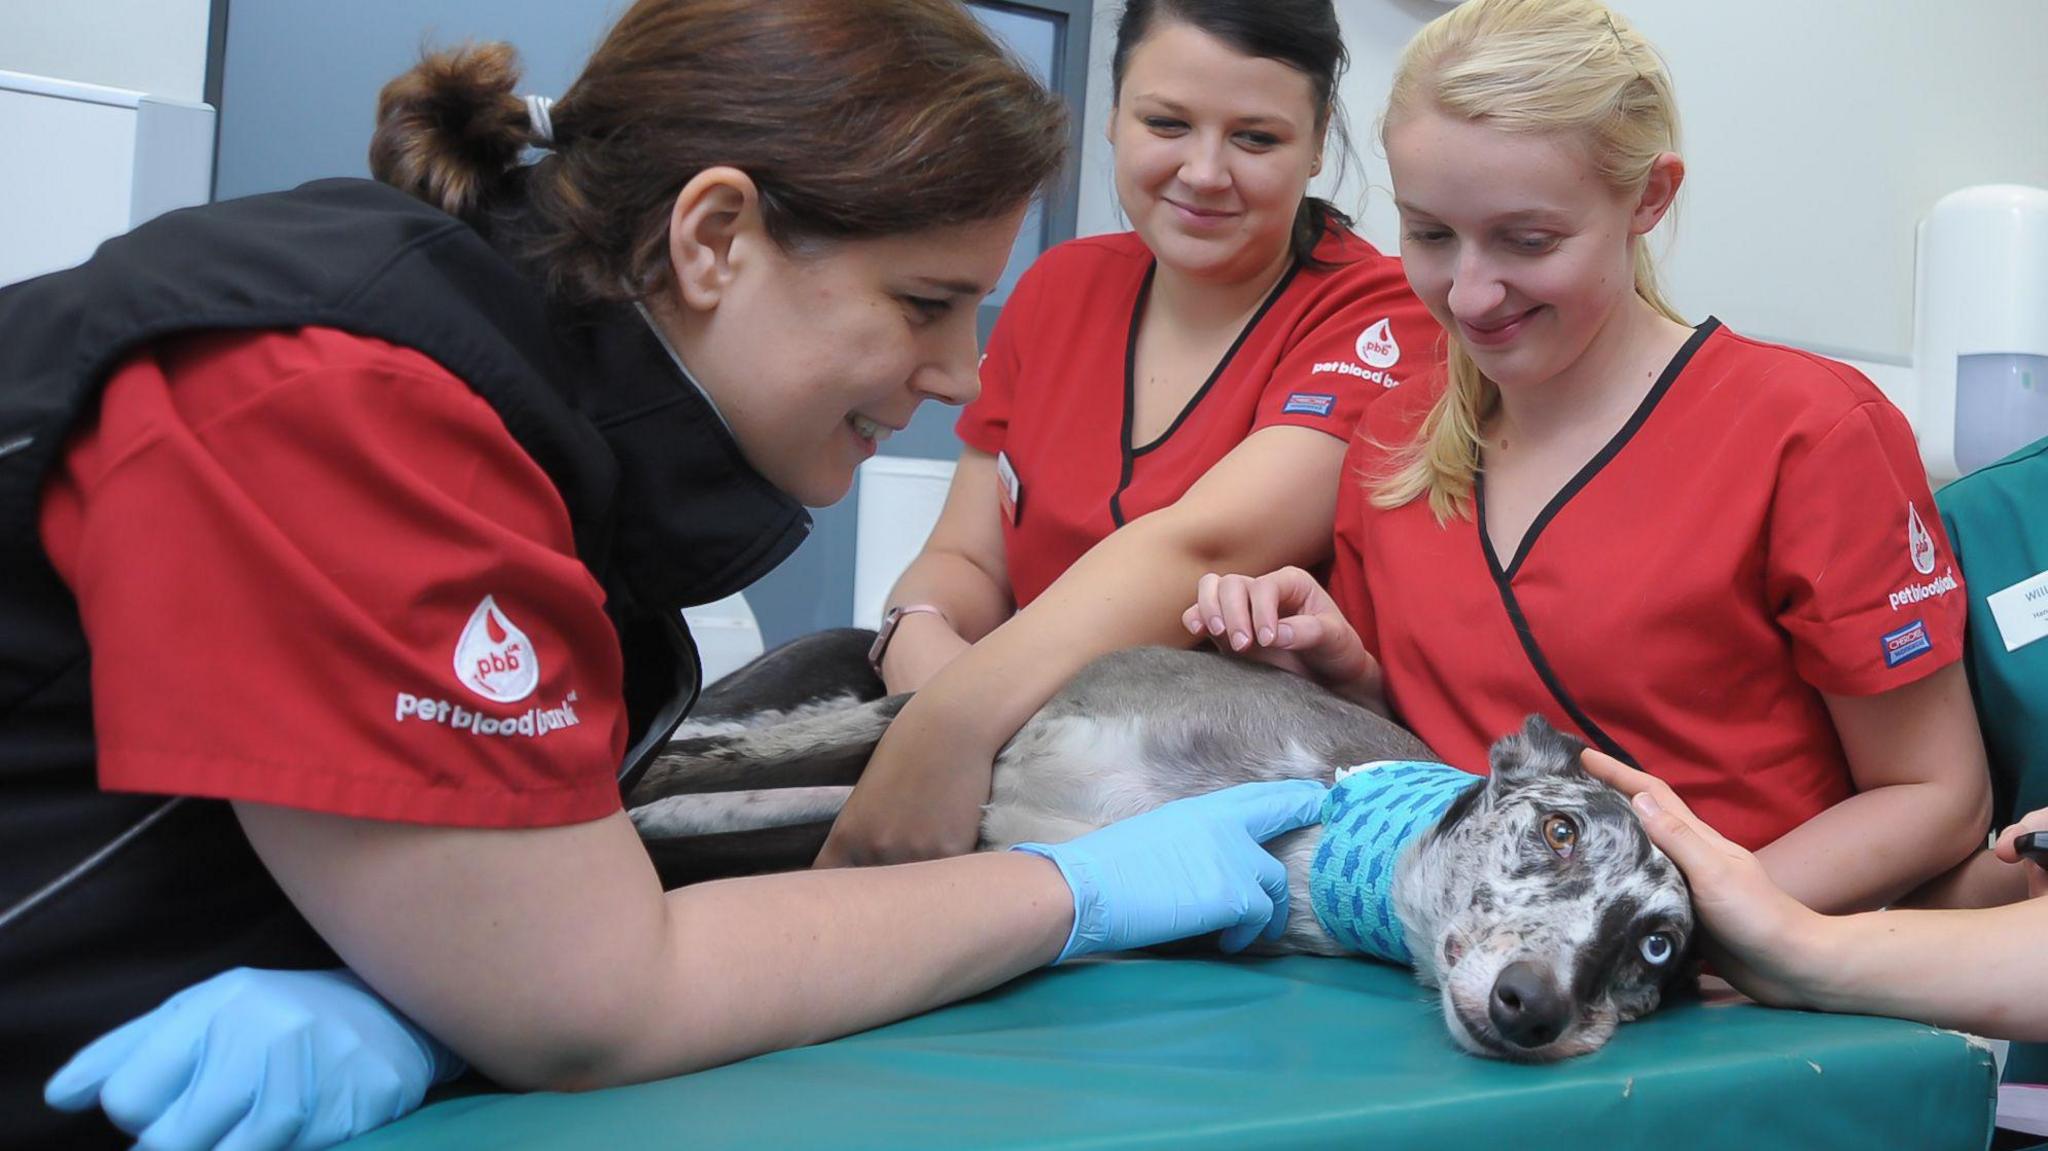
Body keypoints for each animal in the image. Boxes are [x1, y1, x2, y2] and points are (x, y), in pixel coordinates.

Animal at [630, 626, 1687, 1056]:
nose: (1534, 1008)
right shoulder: (942, 727)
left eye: (1658, 948)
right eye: (1559, 829)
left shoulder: (976, 848)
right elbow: (700, 760)